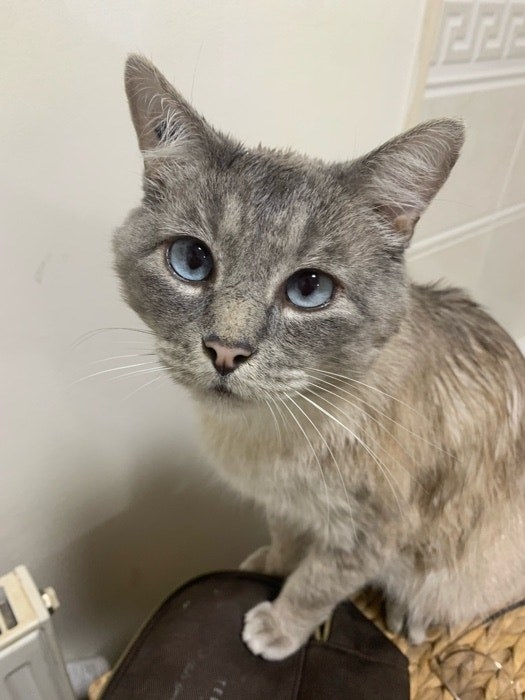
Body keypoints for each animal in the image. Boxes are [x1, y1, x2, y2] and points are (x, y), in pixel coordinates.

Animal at [114, 56, 524, 660]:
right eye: (191, 260)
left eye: (310, 289)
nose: (225, 351)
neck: (271, 436)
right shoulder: (284, 505)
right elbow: (285, 543)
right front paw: (266, 566)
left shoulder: (371, 534)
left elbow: (315, 583)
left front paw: (278, 626)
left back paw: (410, 615)